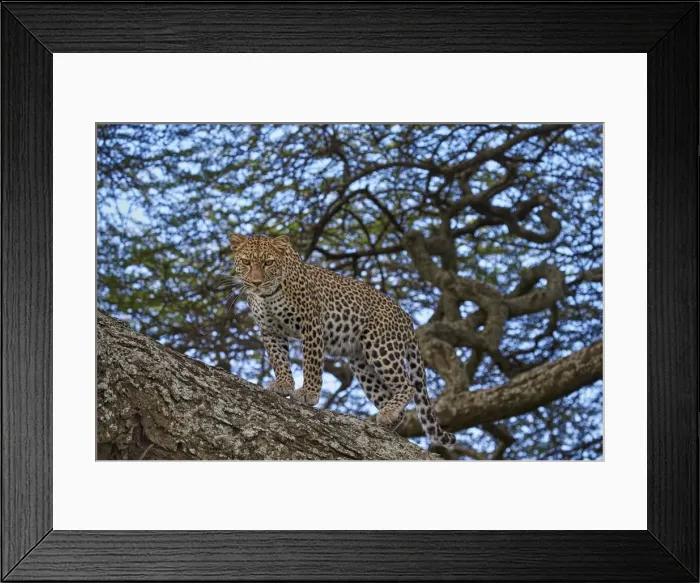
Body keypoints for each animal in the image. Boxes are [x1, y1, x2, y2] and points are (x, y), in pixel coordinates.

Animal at [228, 232, 456, 447]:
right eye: (246, 262)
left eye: (268, 262)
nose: (256, 283)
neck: (267, 296)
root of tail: (407, 319)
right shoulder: (270, 331)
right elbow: (279, 359)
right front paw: (284, 384)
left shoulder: (311, 324)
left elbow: (311, 364)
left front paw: (309, 394)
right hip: (361, 364)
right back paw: (384, 421)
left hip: (380, 346)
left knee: (408, 385)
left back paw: (387, 414)